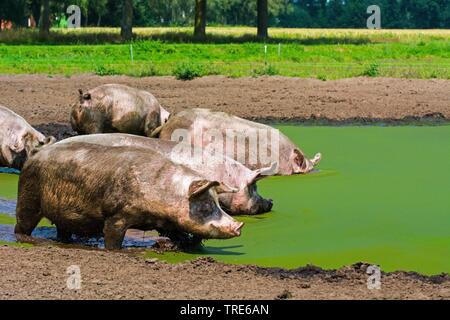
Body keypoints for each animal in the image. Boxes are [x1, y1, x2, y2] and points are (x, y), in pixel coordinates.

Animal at [14, 141, 243, 249]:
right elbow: (113, 237)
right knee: (22, 224)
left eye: (219, 204)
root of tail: (34, 156)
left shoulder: (166, 222)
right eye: (206, 207)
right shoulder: (116, 214)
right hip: (28, 195)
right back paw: (24, 239)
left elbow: (176, 233)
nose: (239, 226)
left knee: (63, 230)